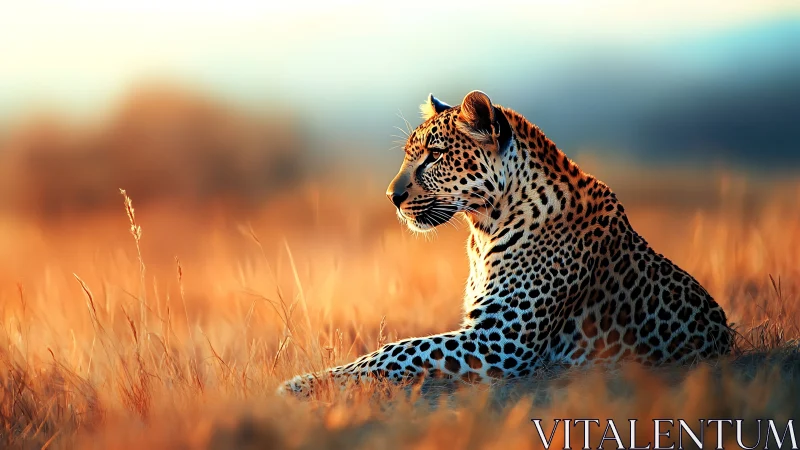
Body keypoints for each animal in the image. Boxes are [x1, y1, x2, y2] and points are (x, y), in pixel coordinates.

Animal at [277, 90, 732, 397]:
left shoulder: (501, 340)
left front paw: (303, 384)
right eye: (410, 154)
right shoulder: (484, 332)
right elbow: (401, 349)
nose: (392, 196)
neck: (483, 230)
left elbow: (399, 350)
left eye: (434, 156)